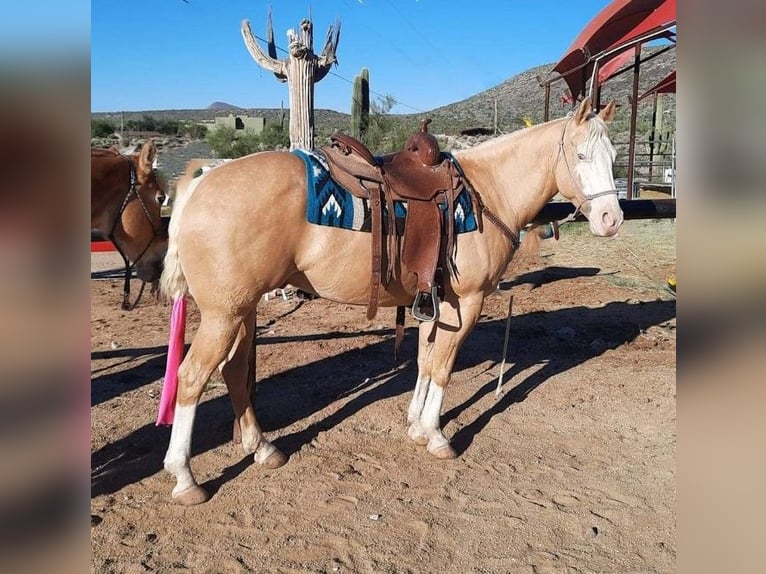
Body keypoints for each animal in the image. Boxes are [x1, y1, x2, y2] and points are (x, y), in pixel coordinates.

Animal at [159, 97, 623, 505]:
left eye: (614, 155)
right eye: (581, 155)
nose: (611, 220)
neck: (489, 192)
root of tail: (202, 181)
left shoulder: (436, 303)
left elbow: (425, 360)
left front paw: (415, 424)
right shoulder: (467, 302)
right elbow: (443, 367)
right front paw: (436, 436)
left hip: (242, 310)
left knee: (234, 371)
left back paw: (262, 449)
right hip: (224, 314)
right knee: (193, 377)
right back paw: (185, 479)